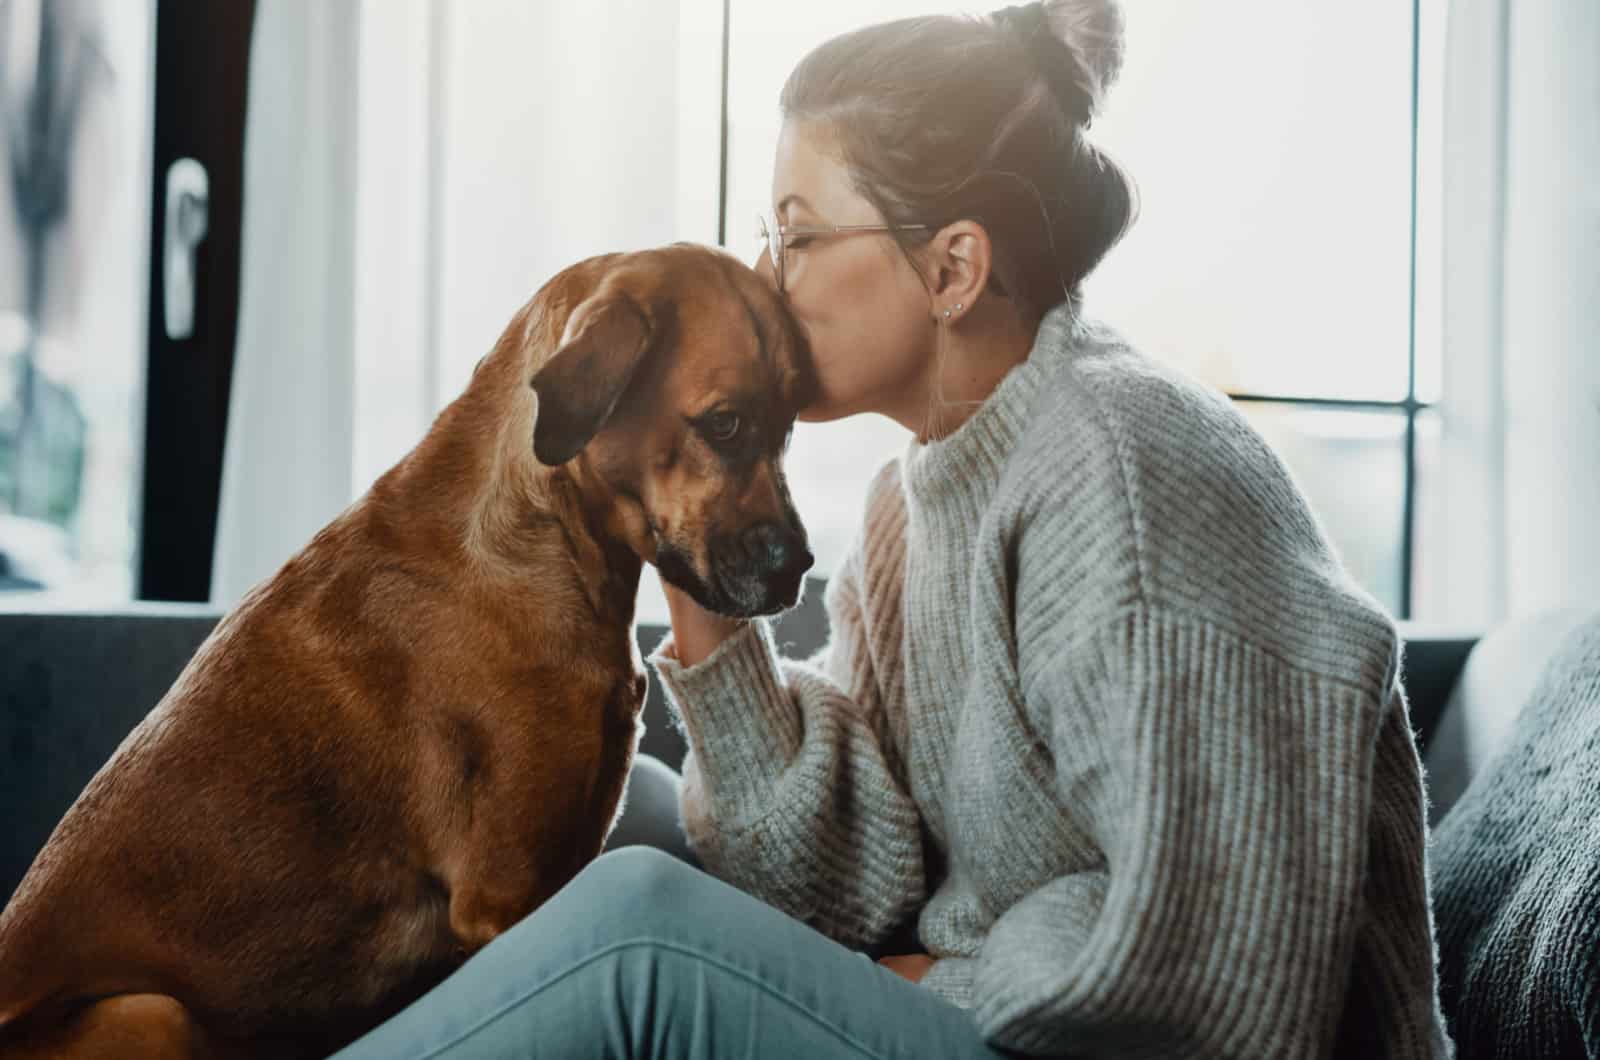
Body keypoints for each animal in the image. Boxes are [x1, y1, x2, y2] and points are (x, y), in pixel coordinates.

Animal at [0, 244, 812, 1056]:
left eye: (789, 427)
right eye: (724, 424)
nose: (799, 567)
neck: (543, 541)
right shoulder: (509, 897)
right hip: (152, 1011)